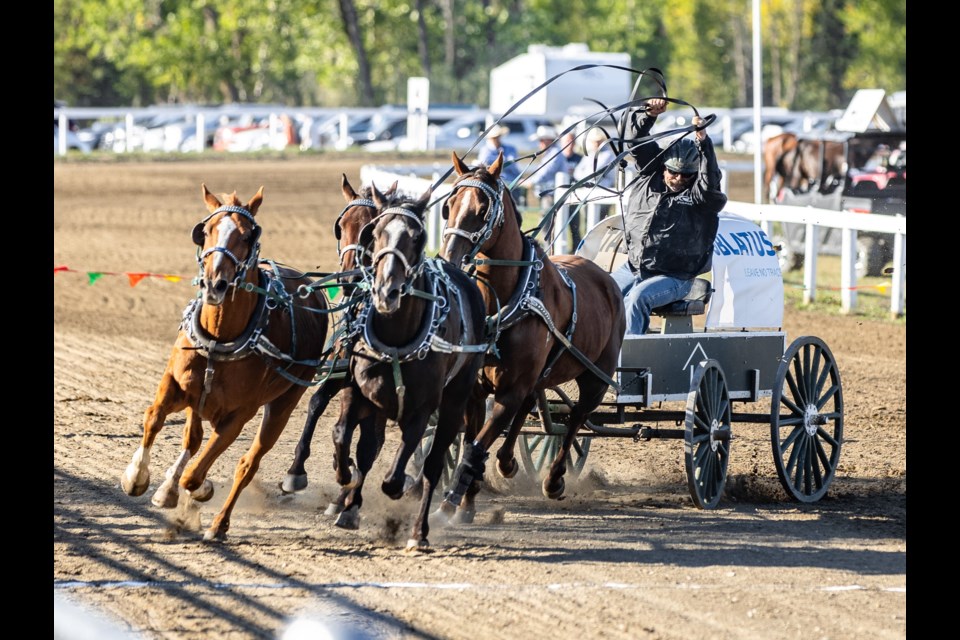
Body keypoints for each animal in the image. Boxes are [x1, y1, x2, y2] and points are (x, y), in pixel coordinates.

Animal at [118, 185, 330, 540]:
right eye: (205, 231)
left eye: (247, 235)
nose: (214, 283)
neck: (220, 338)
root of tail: (310, 288)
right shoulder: (176, 386)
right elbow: (155, 419)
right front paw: (138, 478)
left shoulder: (238, 416)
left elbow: (196, 473)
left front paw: (195, 489)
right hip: (201, 400)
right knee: (193, 438)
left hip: (283, 404)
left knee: (247, 464)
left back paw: (218, 523)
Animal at [336, 185, 488, 552]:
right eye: (376, 232)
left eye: (417, 237)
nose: (386, 291)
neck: (396, 338)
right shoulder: (361, 393)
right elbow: (349, 443)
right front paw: (346, 490)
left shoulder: (422, 409)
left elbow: (396, 474)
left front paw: (401, 484)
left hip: (455, 401)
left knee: (433, 464)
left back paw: (419, 531)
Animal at [436, 152, 632, 524]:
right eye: (449, 205)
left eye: (483, 208)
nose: (450, 257)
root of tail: (607, 279)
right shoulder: (476, 389)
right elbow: (472, 442)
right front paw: (466, 503)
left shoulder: (509, 390)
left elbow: (478, 445)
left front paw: (450, 504)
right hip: (540, 375)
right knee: (536, 409)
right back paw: (508, 462)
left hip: (597, 378)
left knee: (576, 420)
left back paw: (553, 480)